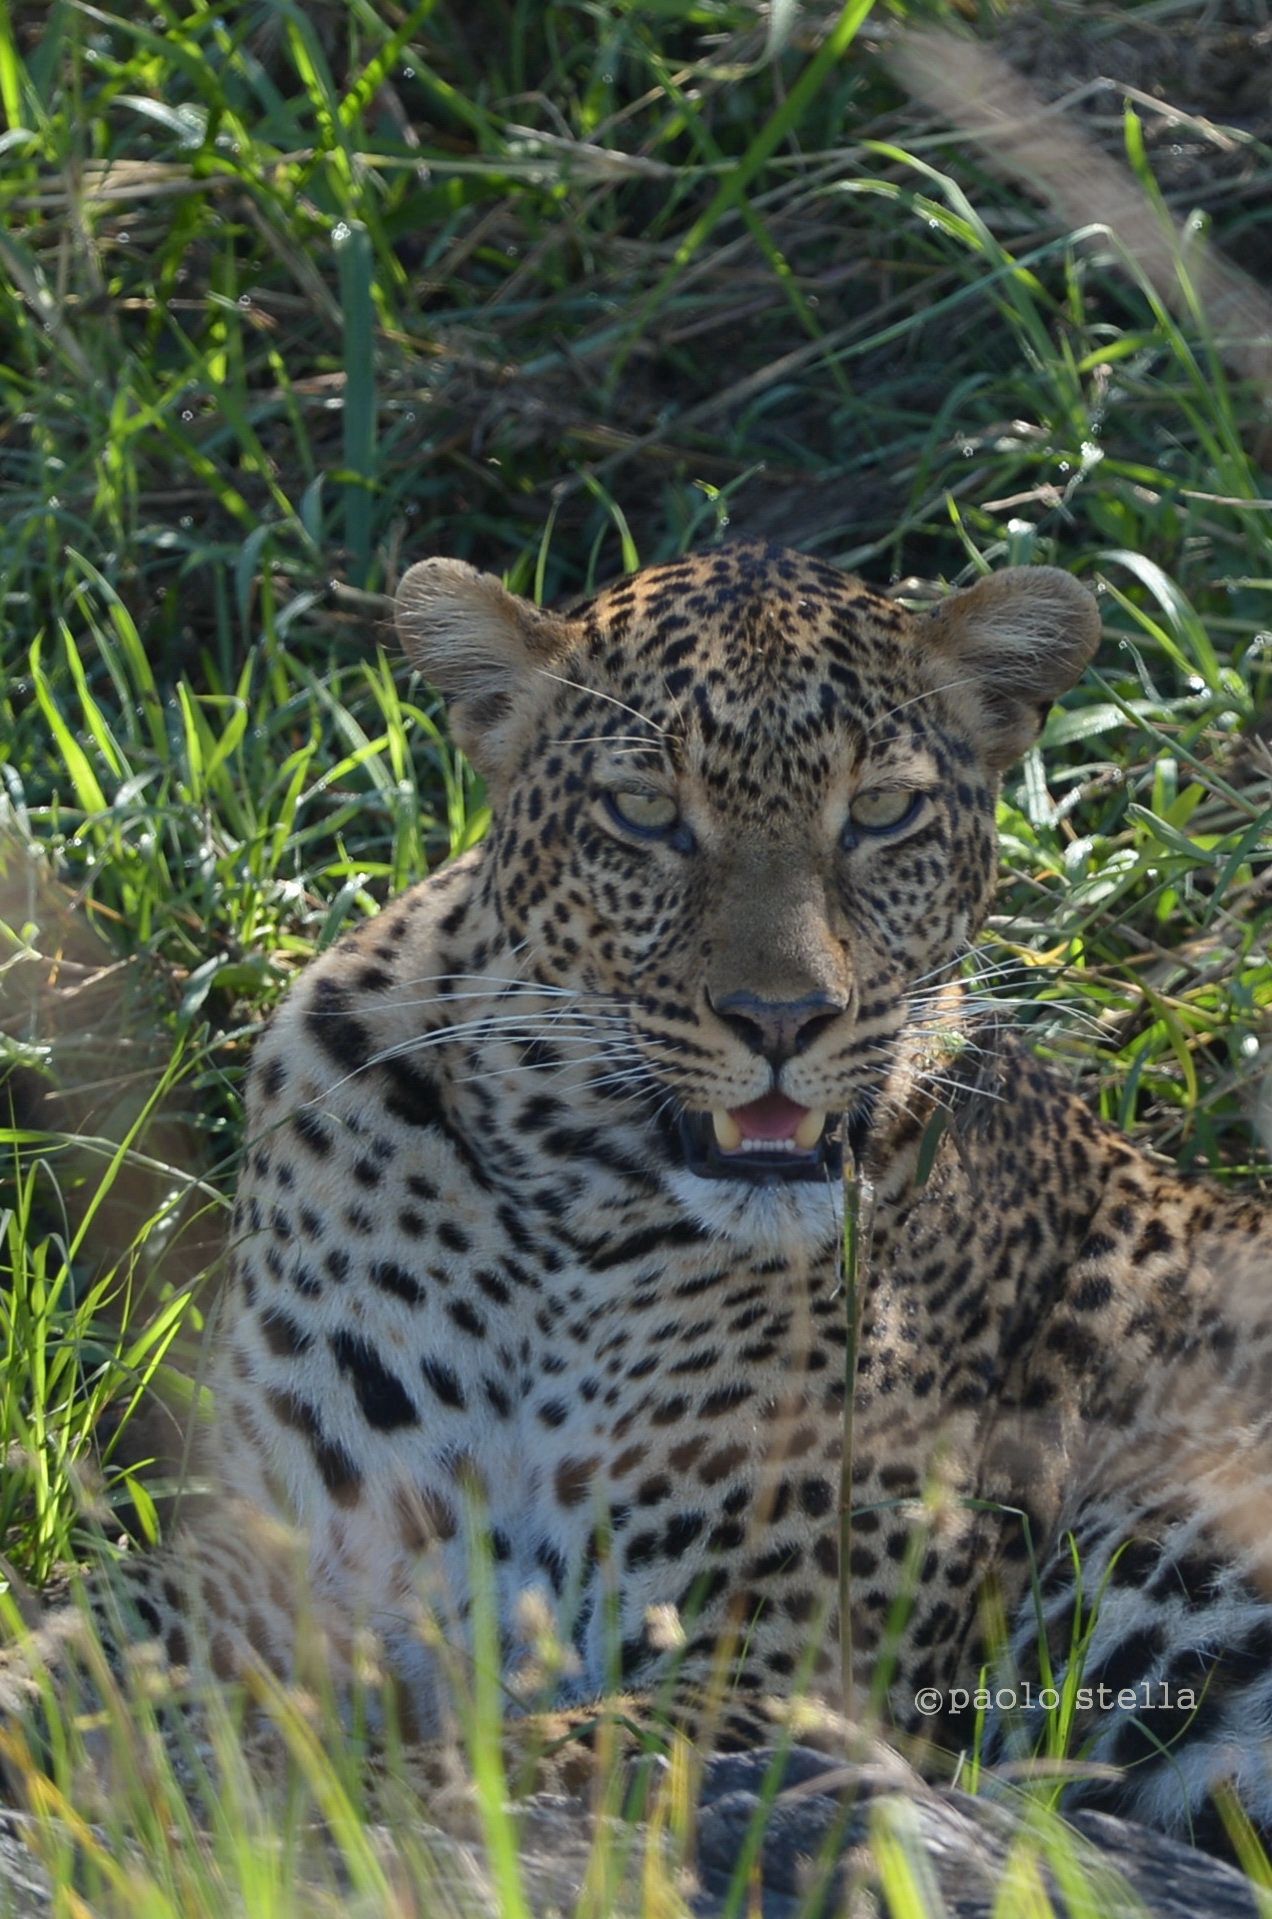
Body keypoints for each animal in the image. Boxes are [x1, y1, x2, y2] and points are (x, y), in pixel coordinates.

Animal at [6, 539, 1272, 1858]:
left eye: (881, 814)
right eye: (647, 814)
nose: (781, 1018)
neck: (564, 1220)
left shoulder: (779, 1653)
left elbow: (457, 1787)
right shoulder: (295, 1549)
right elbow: (81, 1639)